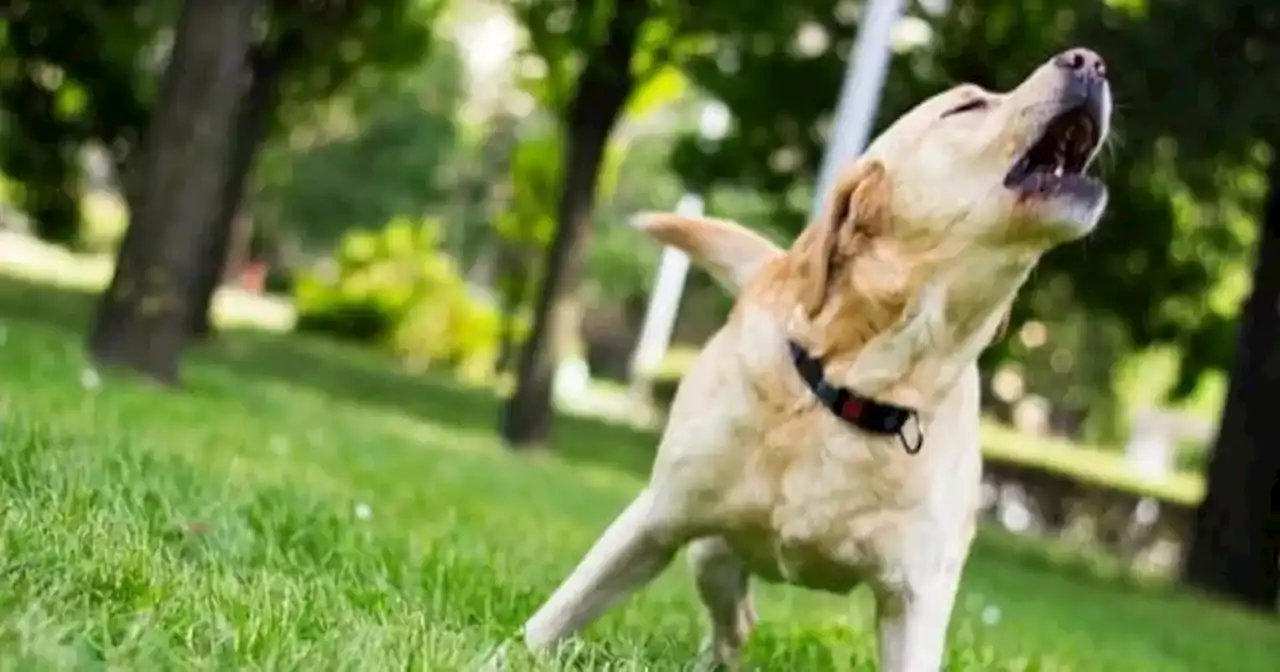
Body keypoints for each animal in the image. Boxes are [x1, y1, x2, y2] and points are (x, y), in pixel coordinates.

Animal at [519, 48, 1111, 670]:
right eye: (968, 106)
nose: (1090, 60)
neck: (861, 391)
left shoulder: (916, 597)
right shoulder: (657, 517)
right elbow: (554, 616)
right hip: (710, 551)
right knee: (731, 614)